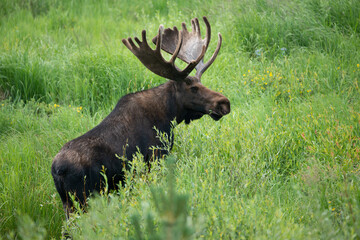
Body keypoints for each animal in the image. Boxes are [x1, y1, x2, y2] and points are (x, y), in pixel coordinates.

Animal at [50, 15, 231, 217]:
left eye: (201, 83)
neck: (169, 115)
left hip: (69, 203)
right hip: (82, 199)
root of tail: (57, 170)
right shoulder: (155, 157)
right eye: (193, 88)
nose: (224, 103)